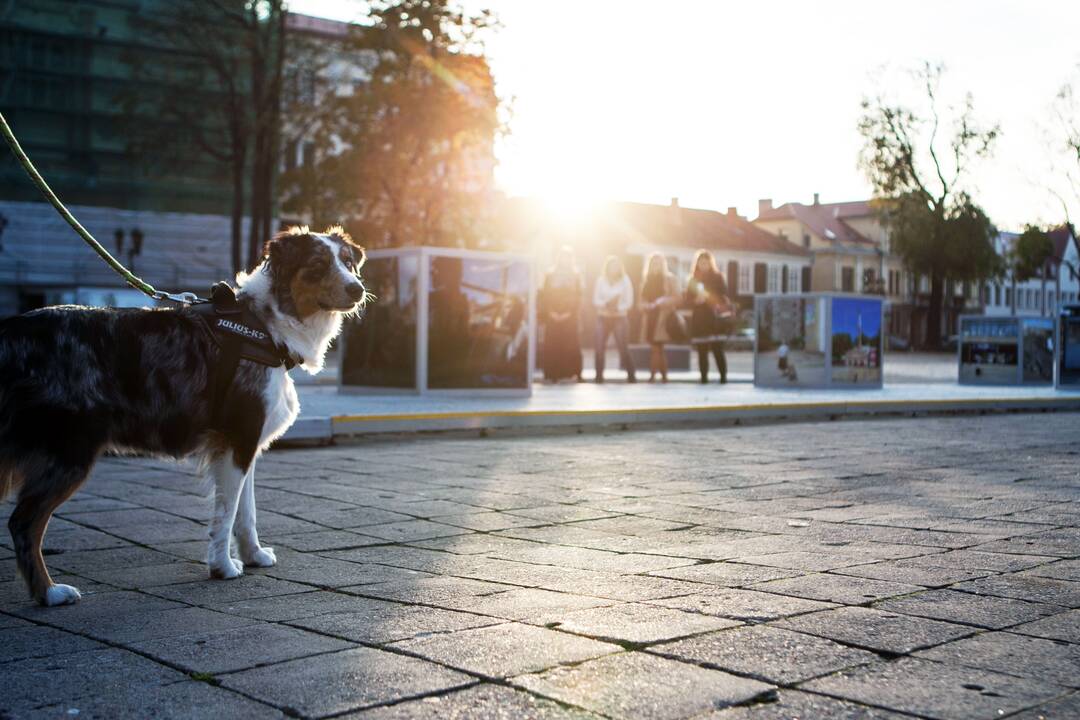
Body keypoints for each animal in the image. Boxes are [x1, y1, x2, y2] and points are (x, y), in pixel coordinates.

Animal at [0, 226, 365, 608]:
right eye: (318, 264)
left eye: (348, 262)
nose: (357, 288)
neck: (266, 327)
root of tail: (9, 332)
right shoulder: (238, 437)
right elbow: (226, 512)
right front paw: (223, 567)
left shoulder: (245, 443)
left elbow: (246, 511)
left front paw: (254, 555)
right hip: (70, 451)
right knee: (23, 522)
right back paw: (50, 592)